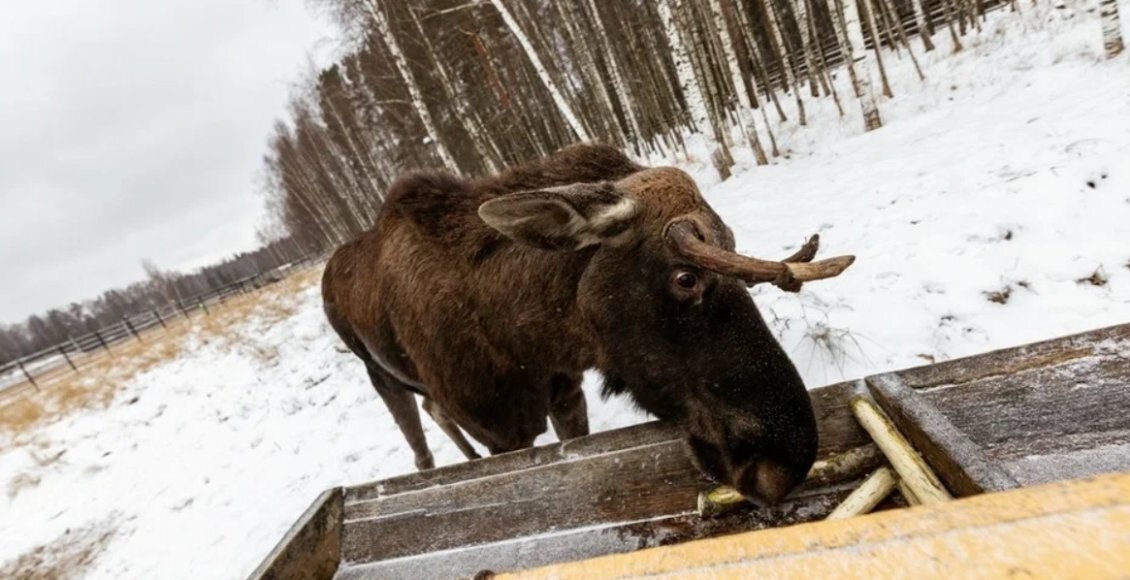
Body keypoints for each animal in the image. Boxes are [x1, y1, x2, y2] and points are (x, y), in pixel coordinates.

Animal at [323, 143, 849, 501]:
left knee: (434, 410)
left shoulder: (566, 393)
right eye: (686, 277)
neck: (525, 339)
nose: (784, 461)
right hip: (381, 379)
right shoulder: (501, 432)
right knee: (421, 445)